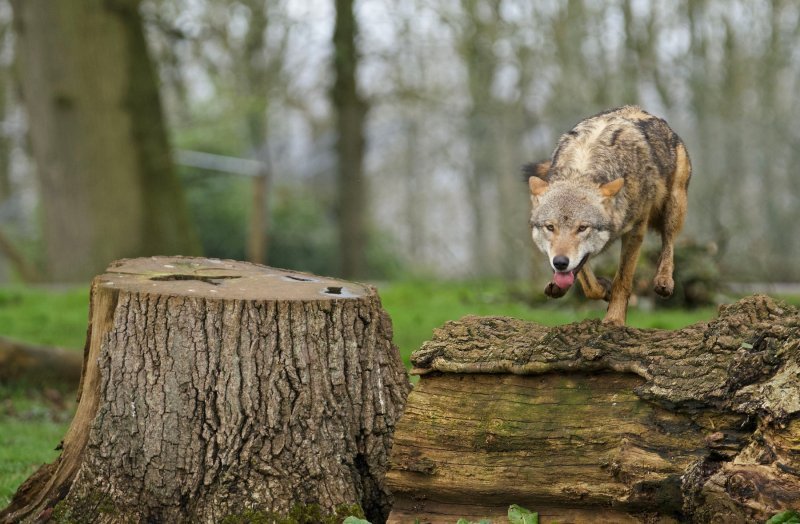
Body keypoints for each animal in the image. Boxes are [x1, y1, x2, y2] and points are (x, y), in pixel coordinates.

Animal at [528, 106, 692, 326]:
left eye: (582, 228)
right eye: (550, 227)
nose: (560, 263)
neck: (583, 169)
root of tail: (642, 110)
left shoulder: (635, 231)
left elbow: (622, 281)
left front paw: (614, 319)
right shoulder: (580, 259)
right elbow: (589, 286)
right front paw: (603, 288)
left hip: (674, 205)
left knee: (669, 242)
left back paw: (664, 280)